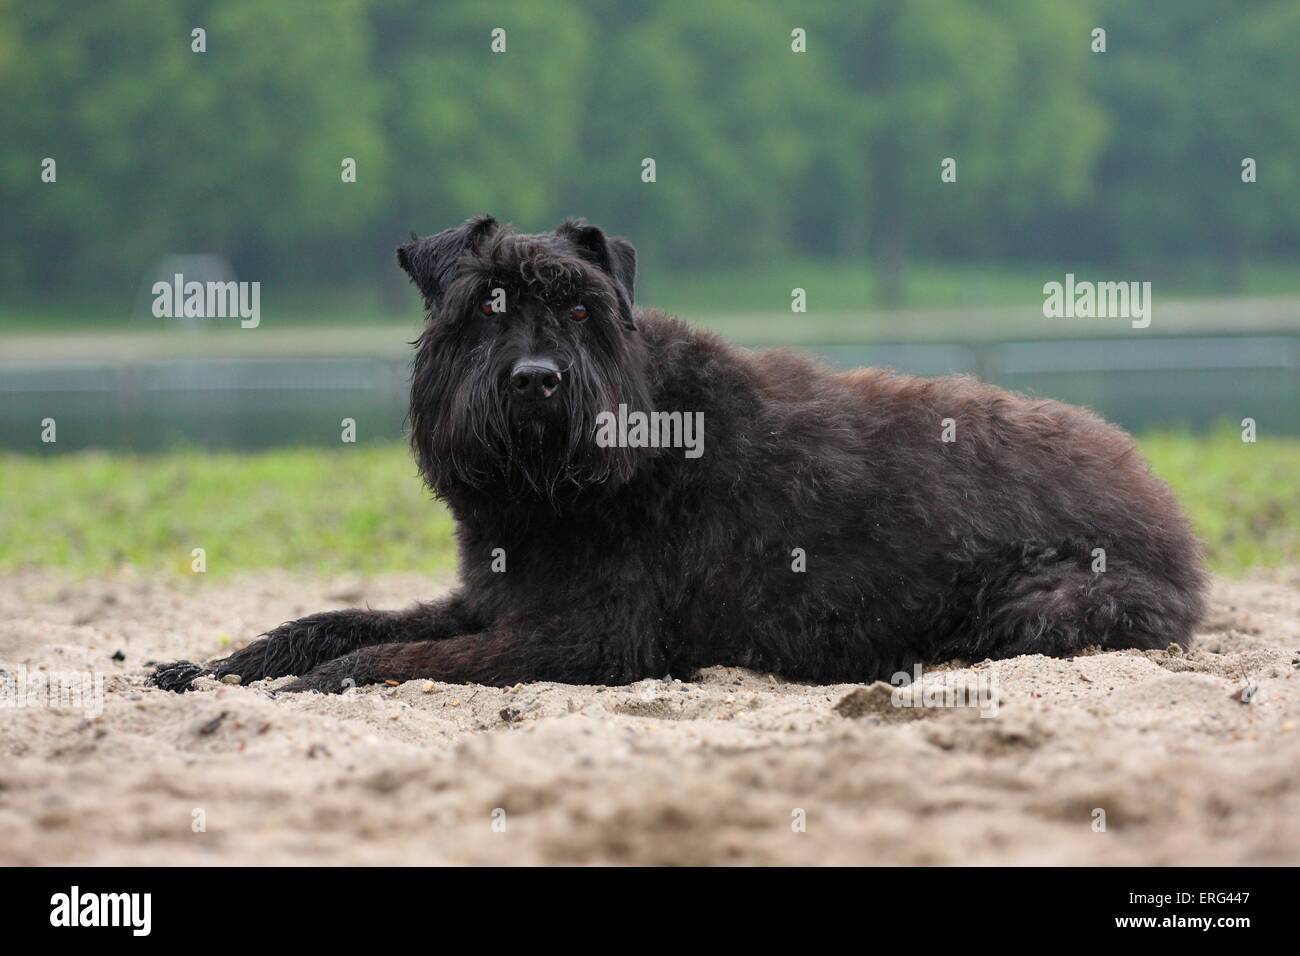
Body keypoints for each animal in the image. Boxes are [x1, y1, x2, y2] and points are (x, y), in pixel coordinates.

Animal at [154, 217, 1206, 697]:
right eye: (488, 303)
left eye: (582, 308)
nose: (536, 380)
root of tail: (1172, 515)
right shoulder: (493, 598)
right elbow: (327, 620)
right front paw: (213, 666)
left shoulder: (586, 639)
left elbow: (395, 654)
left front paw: (327, 678)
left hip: (1049, 602)